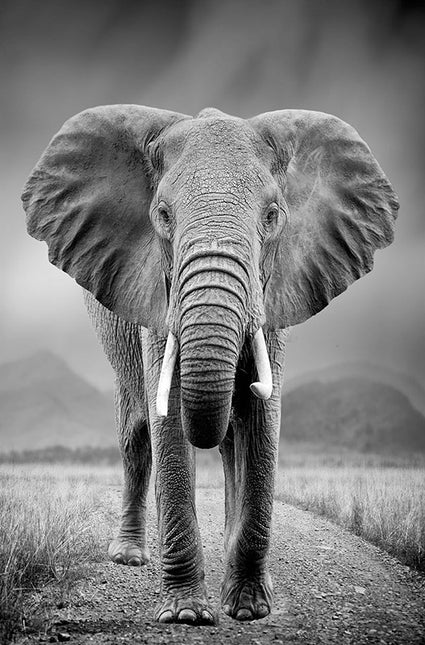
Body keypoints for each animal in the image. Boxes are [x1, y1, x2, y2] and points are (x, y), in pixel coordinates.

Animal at [22, 105, 399, 625]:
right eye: (162, 215)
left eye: (273, 216)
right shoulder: (157, 297)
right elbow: (169, 424)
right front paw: (187, 614)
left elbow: (261, 421)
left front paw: (249, 608)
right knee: (136, 435)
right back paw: (130, 557)